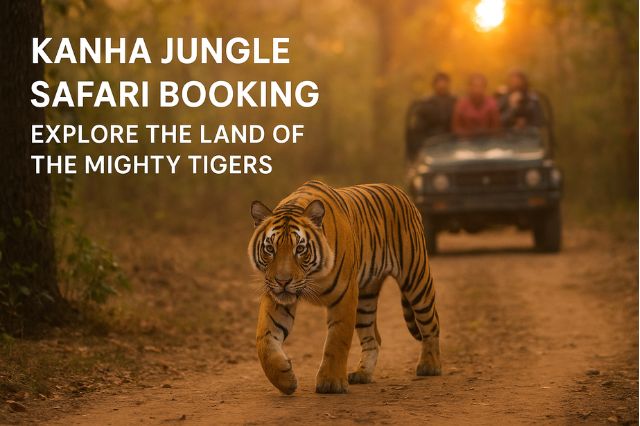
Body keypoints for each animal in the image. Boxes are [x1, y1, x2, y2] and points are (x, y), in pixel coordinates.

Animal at [248, 180, 441, 394]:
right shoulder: (276, 297)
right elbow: (264, 340)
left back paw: (429, 366)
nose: (283, 281)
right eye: (269, 249)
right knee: (373, 338)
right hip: (365, 299)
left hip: (416, 278)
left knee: (431, 322)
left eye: (300, 249)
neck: (313, 276)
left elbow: (337, 340)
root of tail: (399, 191)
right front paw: (285, 379)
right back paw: (362, 374)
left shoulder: (345, 294)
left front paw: (331, 383)